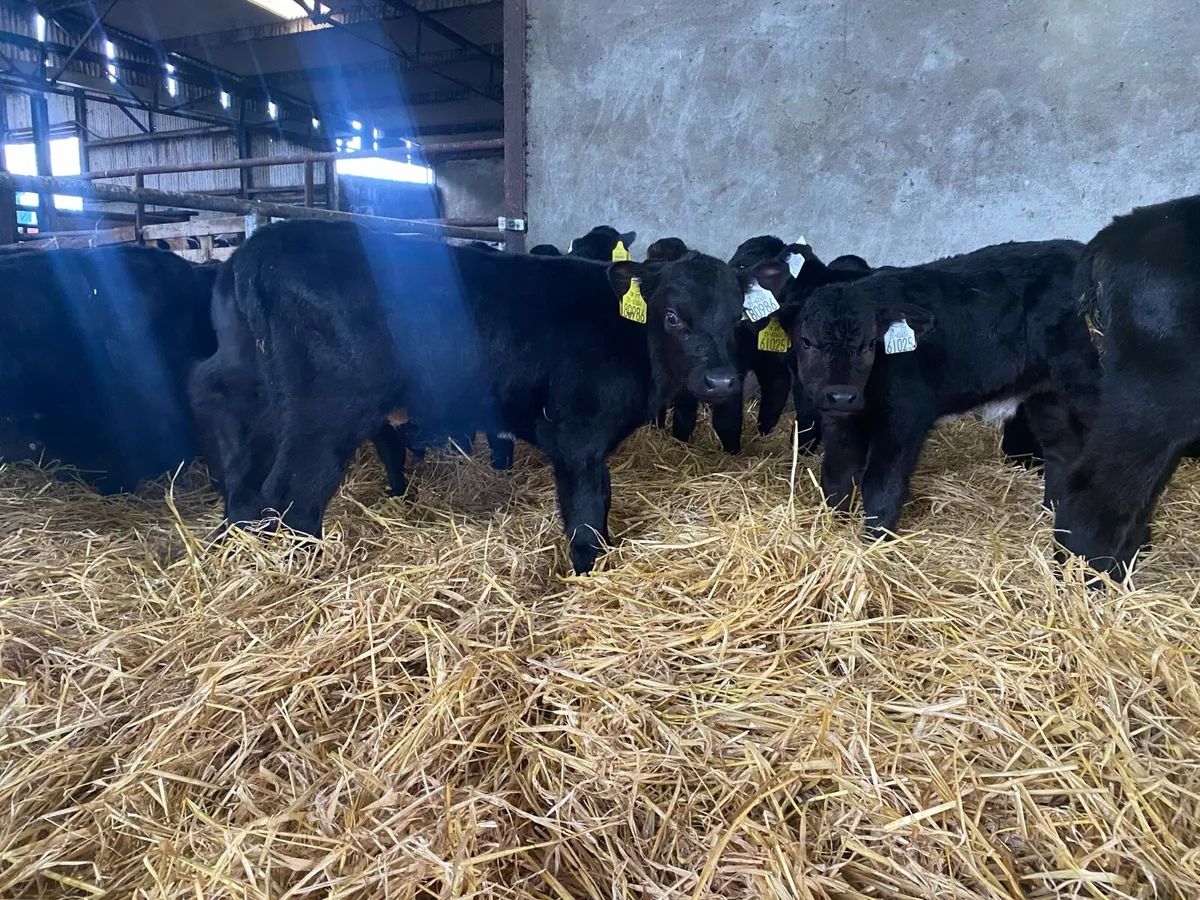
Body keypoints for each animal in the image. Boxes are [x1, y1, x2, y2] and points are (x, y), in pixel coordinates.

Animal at [190, 220, 744, 574]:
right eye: (672, 316)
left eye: (737, 314)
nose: (721, 381)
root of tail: (262, 245)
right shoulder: (579, 434)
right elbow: (587, 506)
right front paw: (589, 570)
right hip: (326, 409)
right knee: (294, 496)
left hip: (256, 396)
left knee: (242, 470)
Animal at [775, 240, 1099, 537]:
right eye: (806, 341)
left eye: (869, 345)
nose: (842, 395)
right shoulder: (838, 419)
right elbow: (837, 476)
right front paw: (830, 526)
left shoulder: (906, 416)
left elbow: (882, 484)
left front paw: (875, 540)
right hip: (1048, 395)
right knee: (1062, 453)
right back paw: (1051, 514)